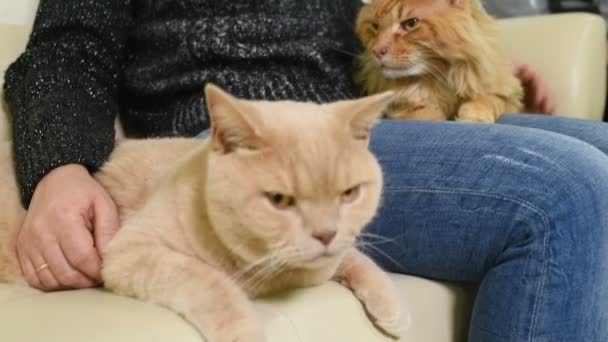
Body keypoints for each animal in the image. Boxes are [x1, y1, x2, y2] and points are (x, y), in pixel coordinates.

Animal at [2, 84, 408, 340]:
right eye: (279, 200)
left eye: (349, 194)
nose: (326, 233)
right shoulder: (132, 251)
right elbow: (212, 284)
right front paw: (244, 333)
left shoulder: (329, 258)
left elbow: (357, 259)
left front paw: (393, 309)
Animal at [356, 0, 524, 122]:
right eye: (375, 26)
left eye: (411, 24)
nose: (376, 51)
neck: (440, 77)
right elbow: (422, 112)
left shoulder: (508, 95)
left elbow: (489, 100)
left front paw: (472, 116)